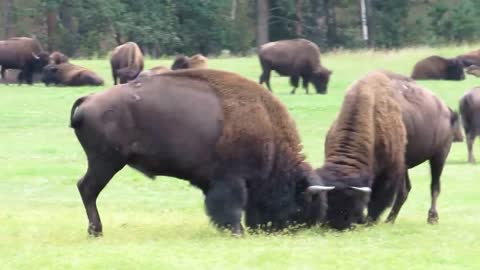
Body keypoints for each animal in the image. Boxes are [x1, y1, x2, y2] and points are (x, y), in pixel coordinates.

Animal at [71, 68, 332, 236]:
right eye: (301, 203)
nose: (294, 230)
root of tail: (88, 99)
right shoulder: (231, 180)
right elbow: (231, 206)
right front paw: (236, 231)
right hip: (106, 162)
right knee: (88, 189)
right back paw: (96, 231)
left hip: (105, 162)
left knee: (85, 188)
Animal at [316, 70, 408, 230]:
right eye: (328, 201)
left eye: (352, 203)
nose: (337, 225)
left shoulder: (387, 173)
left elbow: (378, 200)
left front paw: (369, 222)